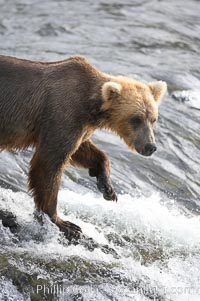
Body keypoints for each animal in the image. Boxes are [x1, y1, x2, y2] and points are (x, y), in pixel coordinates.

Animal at [0, 54, 166, 237]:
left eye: (153, 119)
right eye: (136, 119)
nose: (150, 146)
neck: (91, 106)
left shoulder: (79, 127)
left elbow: (84, 150)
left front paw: (107, 188)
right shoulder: (61, 115)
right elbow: (50, 163)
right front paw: (64, 223)